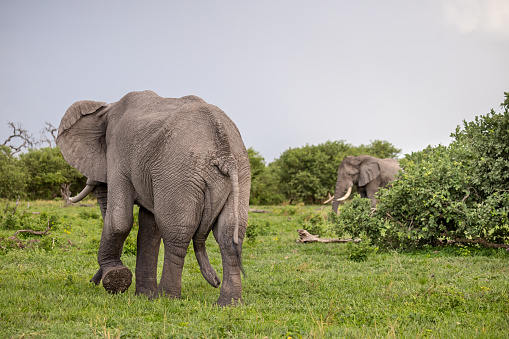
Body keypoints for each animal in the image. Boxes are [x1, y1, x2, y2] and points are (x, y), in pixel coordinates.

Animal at [56, 91, 251, 308]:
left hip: (178, 173)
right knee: (229, 234)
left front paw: (117, 278)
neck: (107, 108)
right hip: (241, 173)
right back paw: (229, 304)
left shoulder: (118, 155)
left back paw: (168, 298)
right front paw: (145, 296)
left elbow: (119, 221)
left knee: (177, 233)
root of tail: (224, 153)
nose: (93, 282)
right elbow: (149, 228)